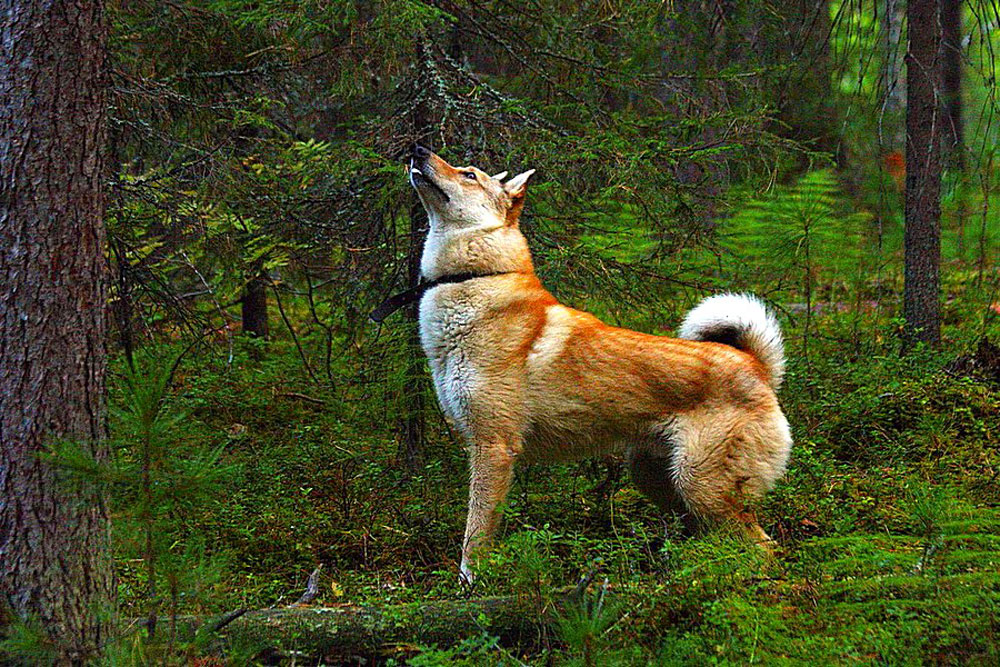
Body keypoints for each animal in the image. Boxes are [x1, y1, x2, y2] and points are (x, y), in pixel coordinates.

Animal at [402, 145, 792, 580]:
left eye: (469, 174)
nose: (417, 149)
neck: (474, 278)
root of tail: (756, 364)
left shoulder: (494, 448)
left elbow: (475, 537)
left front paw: (471, 586)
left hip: (702, 486)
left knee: (763, 546)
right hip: (662, 481)